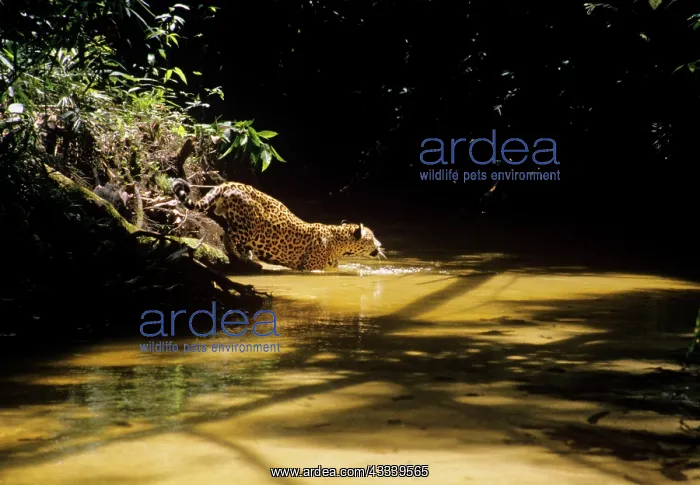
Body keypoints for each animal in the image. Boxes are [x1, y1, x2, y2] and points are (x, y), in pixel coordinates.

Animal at [171, 178, 386, 271]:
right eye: (372, 238)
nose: (381, 245)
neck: (339, 245)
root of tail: (228, 184)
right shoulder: (311, 269)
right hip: (249, 226)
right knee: (228, 235)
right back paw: (241, 257)